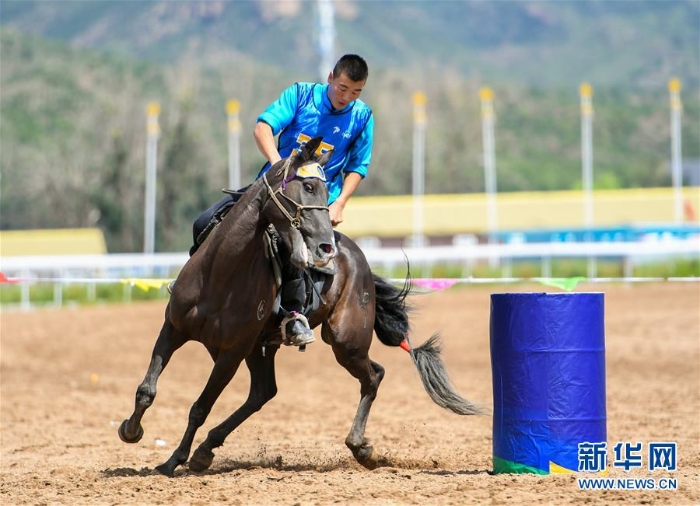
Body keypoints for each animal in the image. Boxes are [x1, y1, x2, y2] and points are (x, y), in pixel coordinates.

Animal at [119, 136, 482, 476]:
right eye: (307, 186)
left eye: (324, 190)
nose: (324, 245)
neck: (220, 274)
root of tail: (357, 257)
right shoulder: (174, 329)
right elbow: (147, 389)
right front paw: (131, 431)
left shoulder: (230, 353)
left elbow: (200, 406)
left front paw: (174, 459)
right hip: (262, 347)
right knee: (263, 392)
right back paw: (207, 448)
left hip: (344, 342)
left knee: (372, 376)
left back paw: (360, 448)